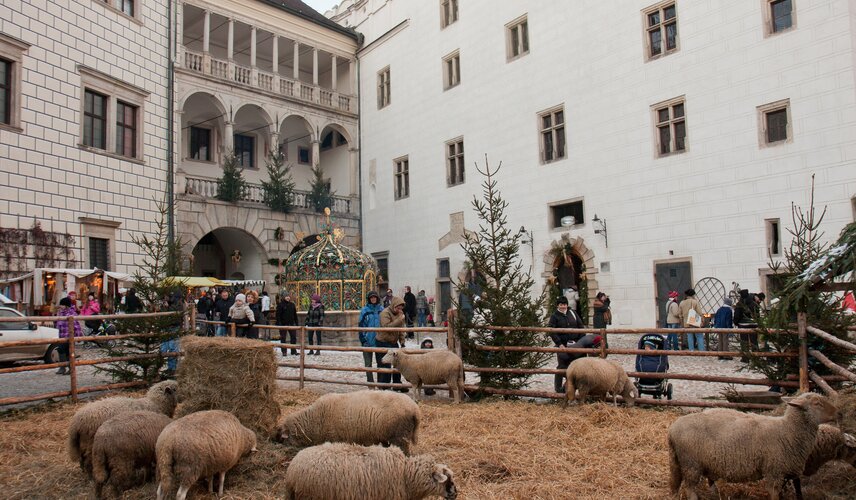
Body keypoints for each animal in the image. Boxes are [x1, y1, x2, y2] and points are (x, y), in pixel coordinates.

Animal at [276, 388, 420, 456]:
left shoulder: (334, 437)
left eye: (283, 438)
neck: (315, 419)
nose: (279, 446)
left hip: (400, 436)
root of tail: (415, 409)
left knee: (405, 453)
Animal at [664, 392, 840, 498]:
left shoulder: (783, 472)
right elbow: (774, 494)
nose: (840, 413)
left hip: (680, 461)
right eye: (817, 403)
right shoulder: (774, 471)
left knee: (676, 484)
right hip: (691, 464)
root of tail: (672, 429)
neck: (787, 430)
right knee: (690, 487)